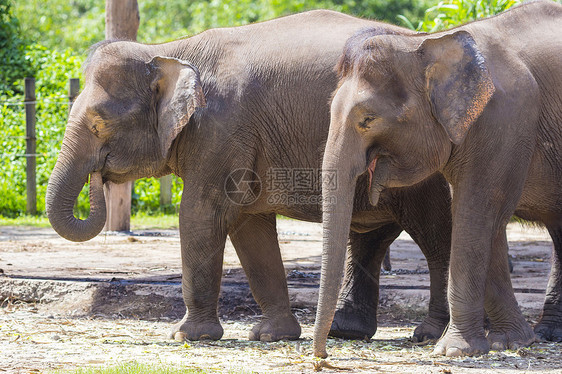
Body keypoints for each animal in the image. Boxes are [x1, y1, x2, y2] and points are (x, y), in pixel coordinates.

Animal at [46, 9, 452, 342]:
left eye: (99, 123)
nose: (99, 177)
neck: (167, 51)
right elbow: (249, 225)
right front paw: (273, 336)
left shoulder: (220, 130)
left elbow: (200, 214)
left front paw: (185, 336)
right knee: (368, 239)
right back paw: (347, 331)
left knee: (435, 237)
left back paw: (429, 335)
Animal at [312, 0, 560, 360]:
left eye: (367, 119)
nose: (321, 357)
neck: (425, 44)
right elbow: (482, 218)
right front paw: (511, 342)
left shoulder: (506, 121)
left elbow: (478, 212)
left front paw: (454, 350)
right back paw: (547, 334)